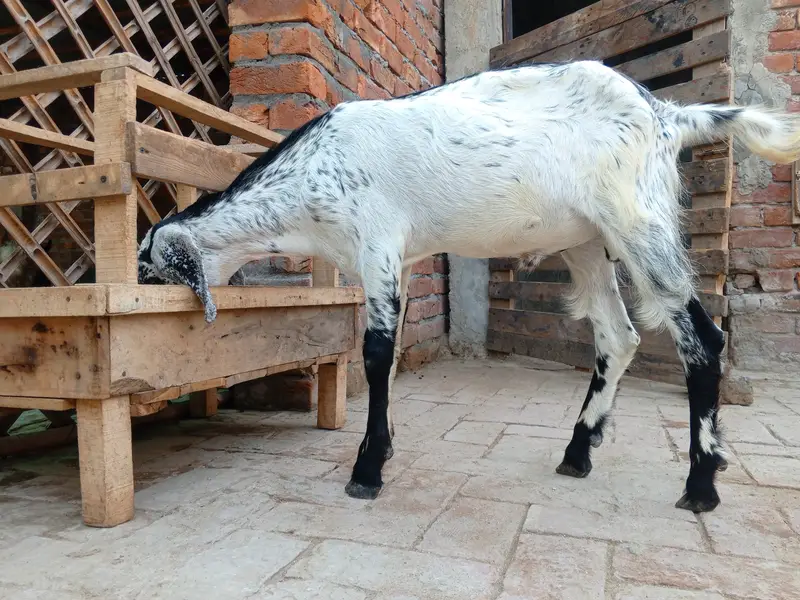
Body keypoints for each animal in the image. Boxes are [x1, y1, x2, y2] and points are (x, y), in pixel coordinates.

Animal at [138, 60, 800, 513]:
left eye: (148, 272)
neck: (311, 177)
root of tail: (666, 114)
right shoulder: (402, 261)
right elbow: (391, 357)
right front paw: (382, 450)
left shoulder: (378, 243)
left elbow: (375, 354)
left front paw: (366, 471)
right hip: (587, 239)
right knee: (618, 336)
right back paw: (576, 454)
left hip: (637, 219)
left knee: (701, 340)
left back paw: (700, 485)